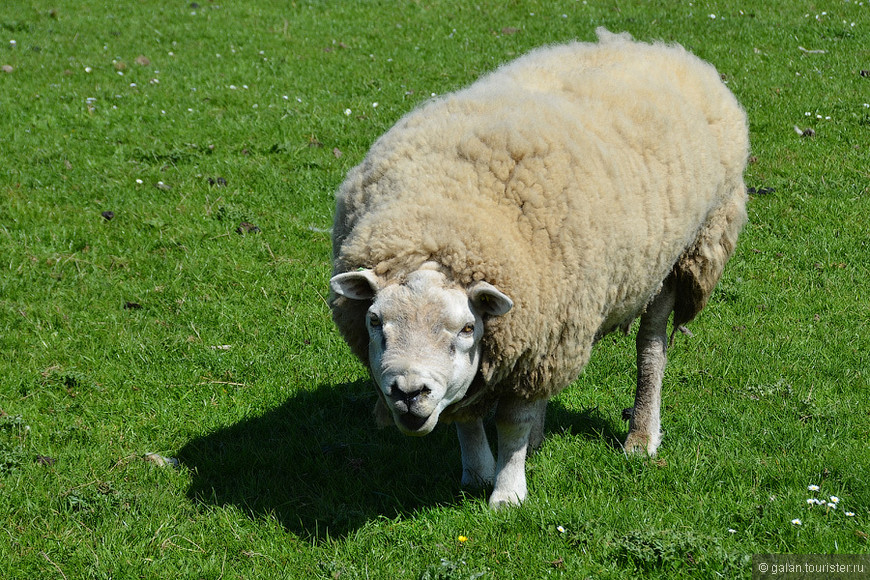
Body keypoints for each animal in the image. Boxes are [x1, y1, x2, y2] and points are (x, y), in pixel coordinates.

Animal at [330, 28, 752, 508]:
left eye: (467, 329)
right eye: (374, 321)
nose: (407, 393)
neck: (440, 232)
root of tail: (652, 47)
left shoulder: (535, 343)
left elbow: (511, 422)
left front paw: (507, 494)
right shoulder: (530, 335)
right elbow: (467, 416)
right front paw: (477, 472)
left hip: (678, 259)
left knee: (651, 348)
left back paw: (640, 437)